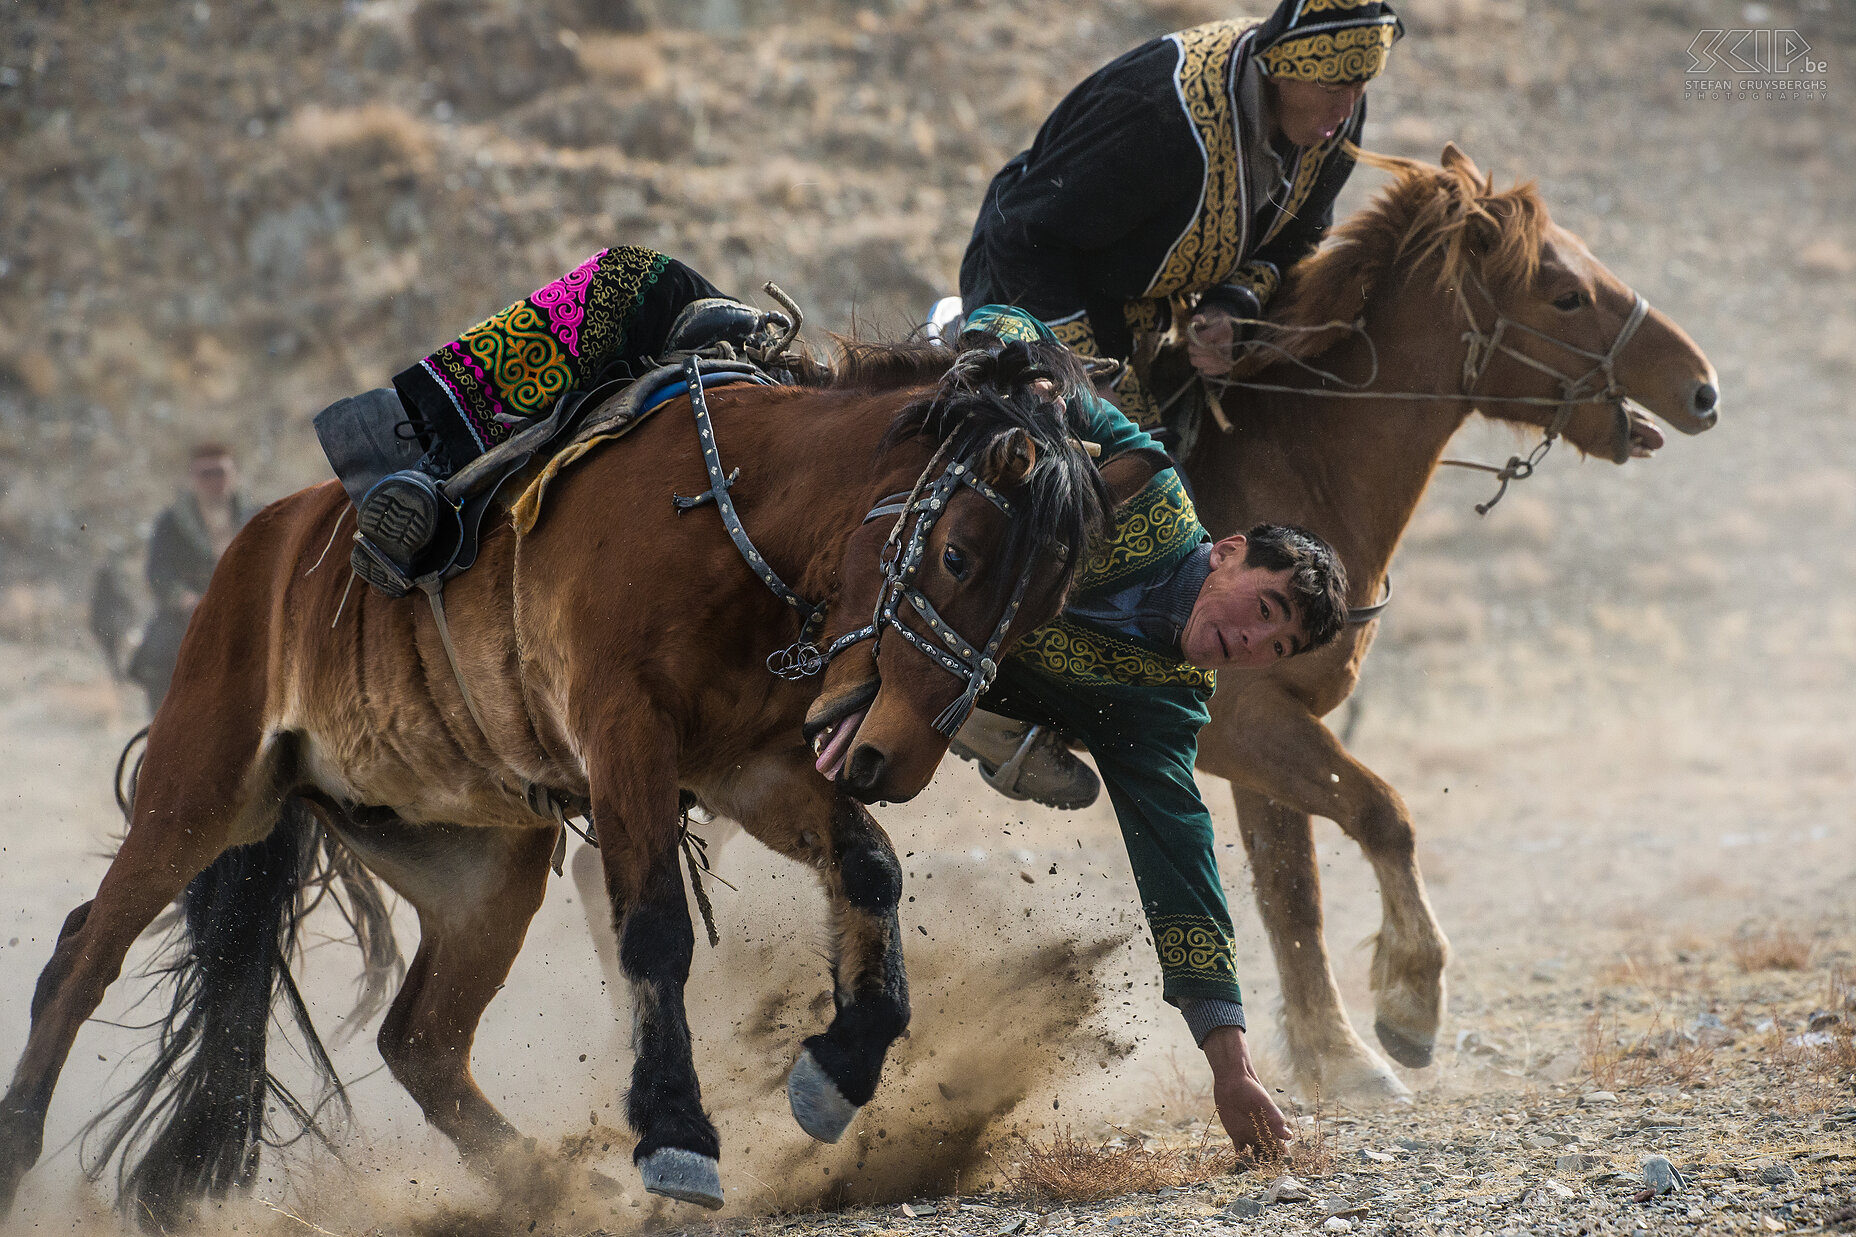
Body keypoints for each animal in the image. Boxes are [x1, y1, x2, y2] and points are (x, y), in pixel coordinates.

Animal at [0, 338, 1106, 1225]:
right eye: (957, 554)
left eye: (1045, 603)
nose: (893, 758)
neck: (726, 517)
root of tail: (256, 551)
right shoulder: (627, 742)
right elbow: (655, 929)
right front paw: (676, 1136)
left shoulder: (749, 768)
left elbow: (869, 869)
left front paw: (837, 1070)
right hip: (199, 791)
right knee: (79, 959)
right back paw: (17, 1148)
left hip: (480, 868)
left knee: (421, 1040)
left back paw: (556, 1184)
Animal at [1180, 144, 1714, 1099]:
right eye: (1564, 293)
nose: (1701, 390)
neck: (1288, 471)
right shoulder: (1237, 720)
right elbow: (1382, 810)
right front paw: (1411, 1001)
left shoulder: (1262, 729)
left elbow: (1293, 894)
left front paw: (1338, 1058)